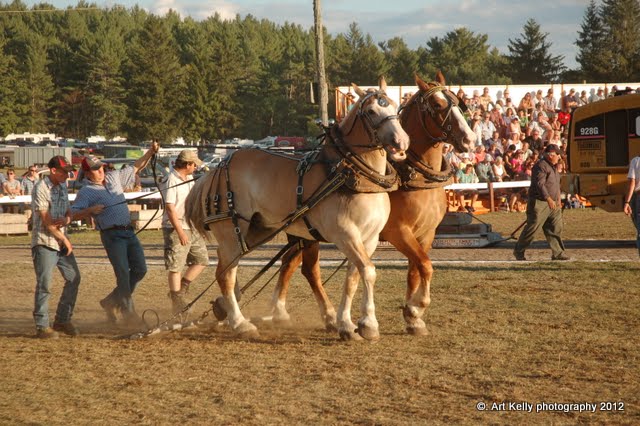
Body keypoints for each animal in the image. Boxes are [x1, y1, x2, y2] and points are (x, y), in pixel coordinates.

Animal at [186, 77, 410, 340]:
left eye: (396, 107)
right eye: (372, 111)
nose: (401, 142)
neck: (352, 174)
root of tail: (217, 167)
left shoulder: (369, 238)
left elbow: (353, 277)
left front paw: (349, 323)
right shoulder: (345, 234)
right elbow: (368, 271)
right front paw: (367, 325)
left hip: (256, 231)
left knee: (227, 269)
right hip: (232, 230)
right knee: (226, 275)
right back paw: (240, 323)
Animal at [269, 71, 476, 335]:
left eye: (458, 102)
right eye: (438, 105)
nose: (469, 140)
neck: (413, 174)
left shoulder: (426, 233)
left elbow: (415, 269)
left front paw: (413, 318)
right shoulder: (398, 232)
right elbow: (426, 265)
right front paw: (415, 308)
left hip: (305, 233)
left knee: (290, 263)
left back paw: (288, 312)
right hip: (307, 234)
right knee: (306, 269)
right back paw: (316, 314)